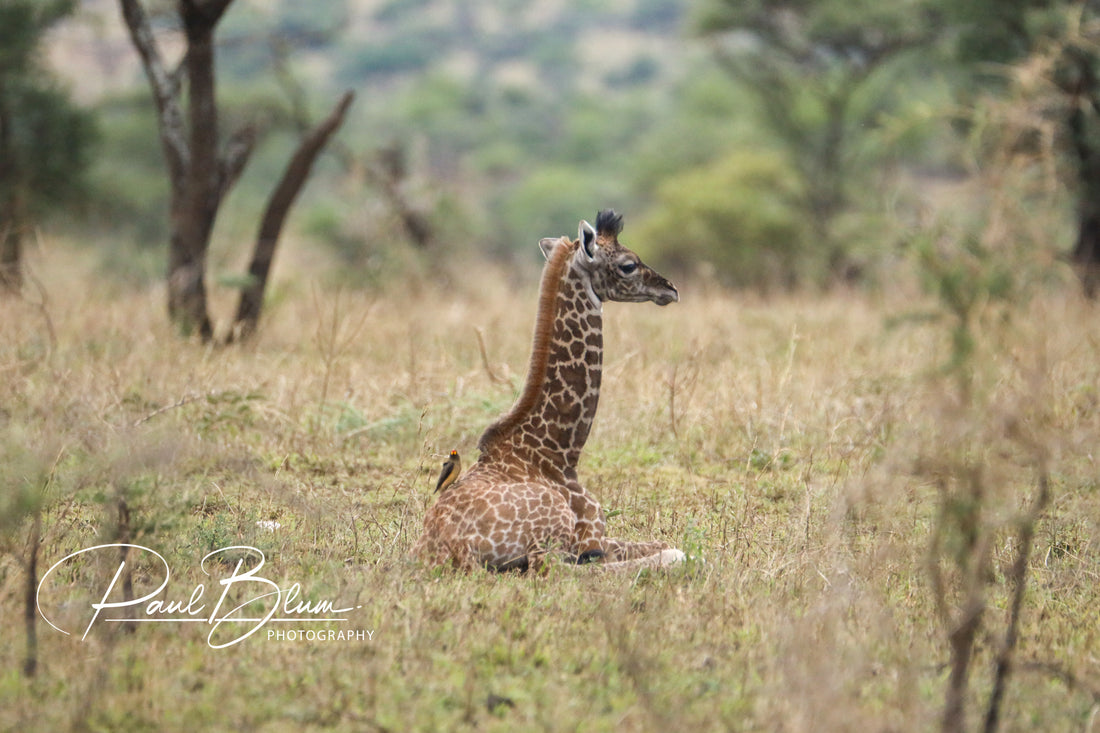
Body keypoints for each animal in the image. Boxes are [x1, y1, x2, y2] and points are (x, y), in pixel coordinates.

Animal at [413, 208, 682, 567]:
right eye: (628, 264)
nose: (670, 289)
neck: (559, 452)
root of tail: (443, 547)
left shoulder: (599, 538)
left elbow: (662, 543)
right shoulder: (587, 536)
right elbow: (671, 550)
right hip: (549, 532)